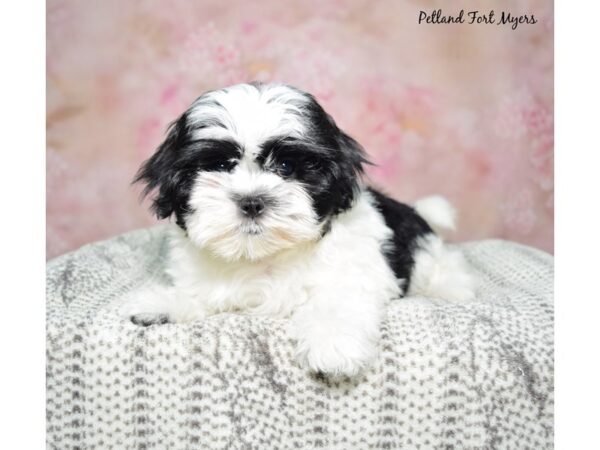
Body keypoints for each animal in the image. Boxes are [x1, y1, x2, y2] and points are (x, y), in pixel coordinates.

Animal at [126, 81, 474, 376]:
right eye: (221, 165)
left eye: (286, 167)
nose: (252, 202)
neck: (263, 257)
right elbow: (202, 293)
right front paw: (161, 303)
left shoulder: (355, 272)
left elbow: (337, 300)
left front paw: (333, 343)